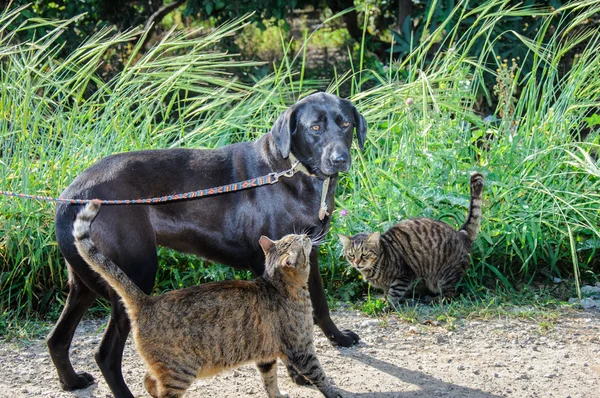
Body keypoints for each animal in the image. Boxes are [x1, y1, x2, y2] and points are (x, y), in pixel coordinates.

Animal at [72, 202, 342, 398]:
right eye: (298, 241)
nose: (307, 235)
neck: (279, 286)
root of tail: (146, 301)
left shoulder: (265, 355)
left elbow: (270, 381)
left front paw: (277, 395)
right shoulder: (301, 349)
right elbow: (320, 376)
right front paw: (333, 392)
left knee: (148, 380)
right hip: (180, 371)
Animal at [340, 172, 486, 308]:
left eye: (364, 254)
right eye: (351, 255)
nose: (356, 263)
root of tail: (461, 233)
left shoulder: (403, 276)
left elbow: (394, 292)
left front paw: (389, 305)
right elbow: (387, 292)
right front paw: (384, 300)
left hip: (446, 276)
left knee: (452, 293)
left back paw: (436, 299)